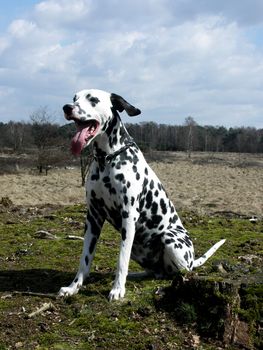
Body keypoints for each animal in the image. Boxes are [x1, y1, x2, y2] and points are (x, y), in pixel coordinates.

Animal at [58, 89, 226, 300]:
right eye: (74, 98)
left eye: (93, 99)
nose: (67, 107)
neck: (108, 159)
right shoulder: (93, 218)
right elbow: (85, 259)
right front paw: (73, 287)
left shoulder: (128, 216)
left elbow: (121, 259)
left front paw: (117, 289)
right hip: (138, 247)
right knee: (155, 272)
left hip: (170, 239)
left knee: (180, 272)